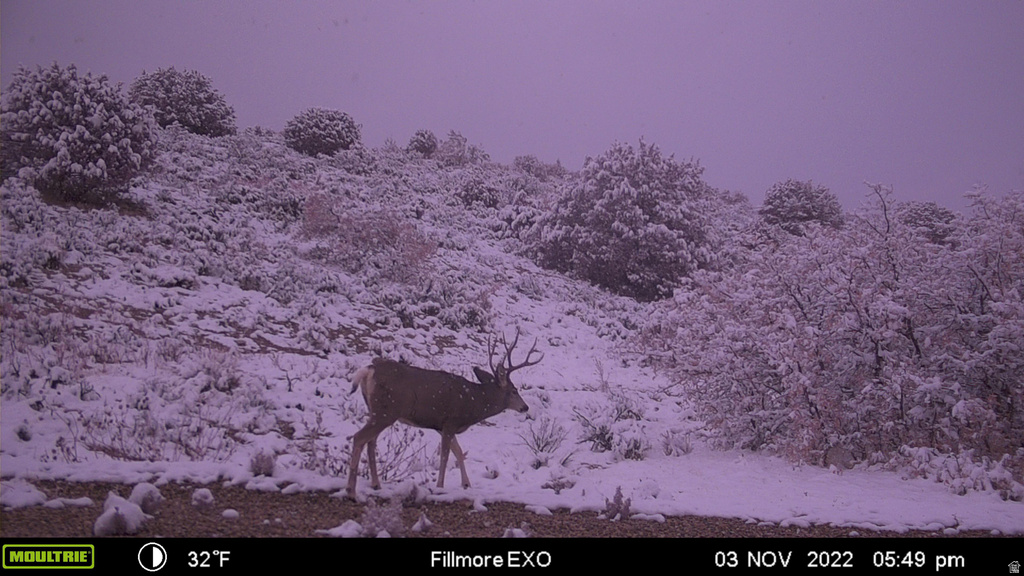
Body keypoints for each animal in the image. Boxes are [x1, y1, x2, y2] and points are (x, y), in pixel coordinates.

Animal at [347, 330, 542, 498]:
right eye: (514, 391)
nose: (525, 407)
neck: (473, 403)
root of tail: (369, 369)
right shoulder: (450, 421)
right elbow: (446, 455)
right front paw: (440, 486)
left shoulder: (442, 426)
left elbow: (459, 451)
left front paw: (466, 484)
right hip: (387, 411)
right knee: (359, 437)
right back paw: (351, 491)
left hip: (377, 410)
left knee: (370, 441)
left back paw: (376, 485)